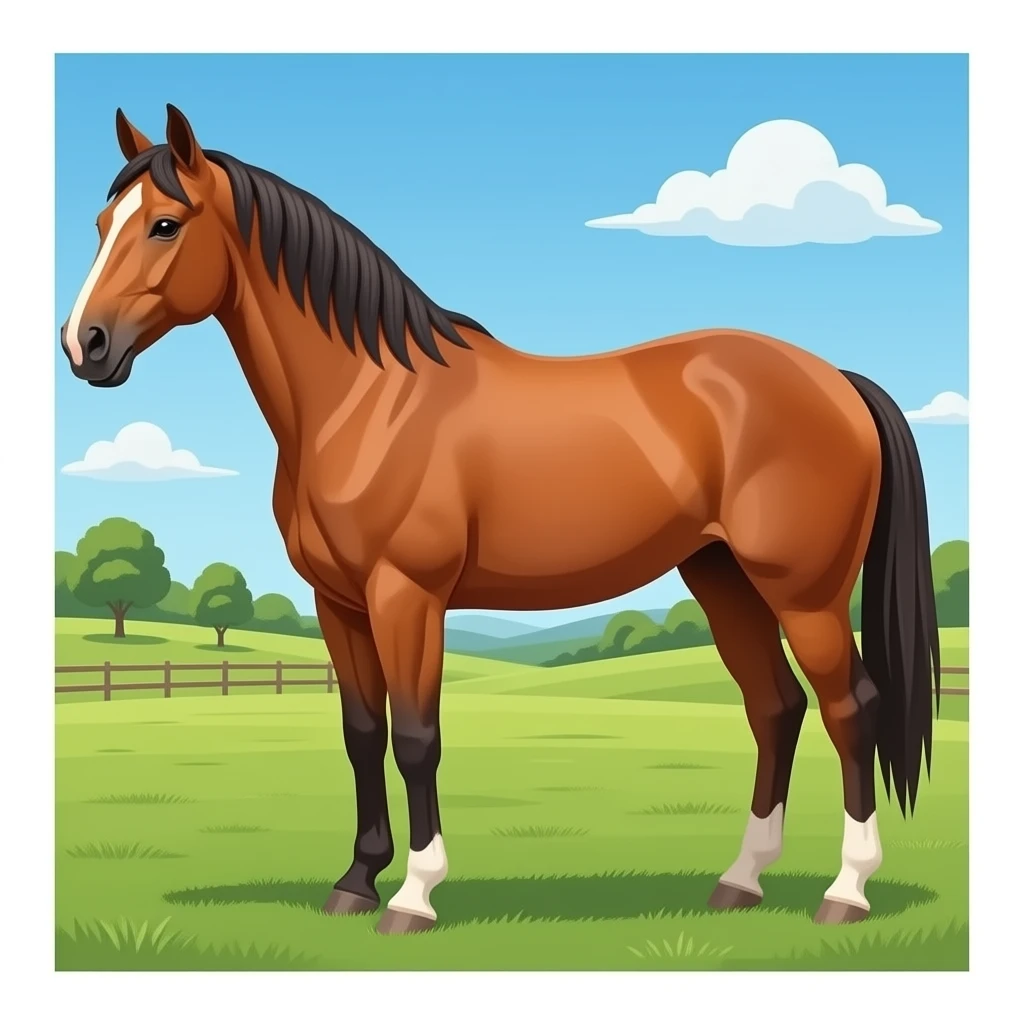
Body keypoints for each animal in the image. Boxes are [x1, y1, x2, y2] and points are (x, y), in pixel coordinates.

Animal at [60, 105, 939, 935]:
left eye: (165, 224)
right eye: (102, 224)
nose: (84, 344)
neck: (368, 401)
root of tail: (836, 380)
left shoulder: (407, 596)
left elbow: (416, 737)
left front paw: (413, 895)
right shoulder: (338, 603)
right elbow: (360, 733)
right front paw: (354, 882)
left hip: (804, 591)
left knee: (849, 709)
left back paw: (846, 891)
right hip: (721, 577)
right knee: (775, 708)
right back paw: (740, 881)